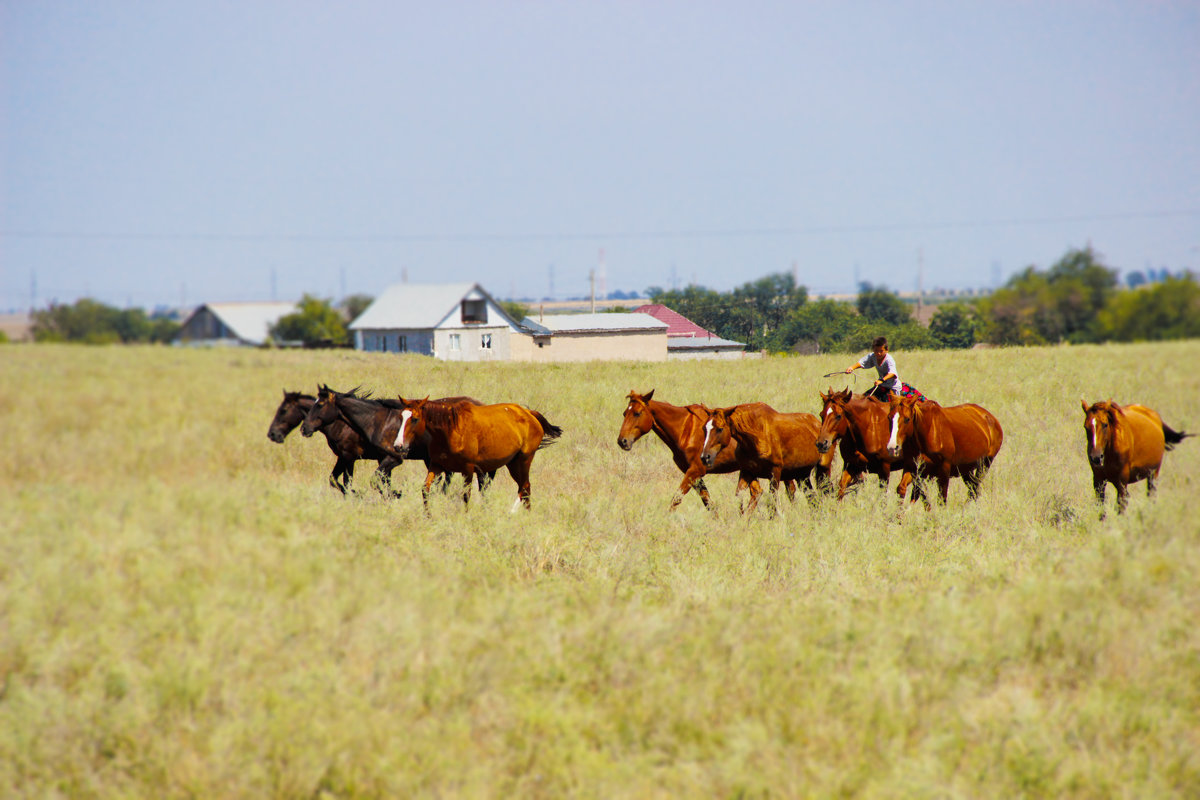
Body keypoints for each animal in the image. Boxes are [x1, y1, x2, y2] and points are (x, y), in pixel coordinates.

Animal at [393, 395, 561, 513]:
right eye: (401, 417)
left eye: (415, 419)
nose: (398, 446)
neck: (450, 430)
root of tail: (529, 413)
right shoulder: (437, 465)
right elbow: (425, 490)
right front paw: (428, 516)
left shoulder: (467, 469)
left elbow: (466, 495)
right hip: (512, 463)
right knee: (524, 488)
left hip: (523, 460)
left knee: (525, 487)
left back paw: (513, 513)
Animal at [614, 388, 782, 513]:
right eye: (624, 413)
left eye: (637, 413)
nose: (622, 441)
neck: (685, 429)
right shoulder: (693, 475)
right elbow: (708, 503)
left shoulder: (695, 471)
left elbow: (676, 499)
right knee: (757, 492)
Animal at [700, 402, 830, 515]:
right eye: (704, 429)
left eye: (720, 429)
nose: (705, 457)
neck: (757, 435)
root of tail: (816, 423)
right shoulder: (747, 471)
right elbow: (739, 496)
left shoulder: (775, 472)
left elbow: (771, 503)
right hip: (802, 475)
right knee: (813, 499)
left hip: (821, 470)